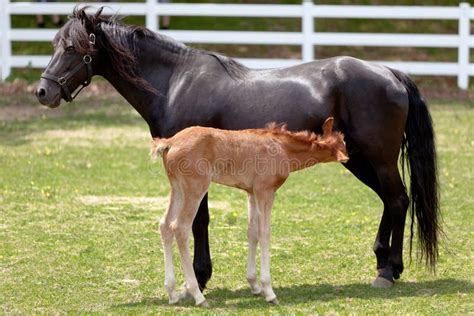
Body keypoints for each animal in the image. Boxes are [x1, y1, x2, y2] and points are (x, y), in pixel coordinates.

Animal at [152, 117, 348, 304]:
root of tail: (170, 142)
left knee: (165, 225)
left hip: (177, 187)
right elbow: (264, 233)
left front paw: (254, 285)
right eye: (344, 142)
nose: (348, 157)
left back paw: (172, 293)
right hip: (195, 187)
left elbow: (252, 231)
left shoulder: (251, 192)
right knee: (180, 227)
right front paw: (269, 291)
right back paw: (198, 297)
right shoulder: (265, 191)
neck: (282, 148)